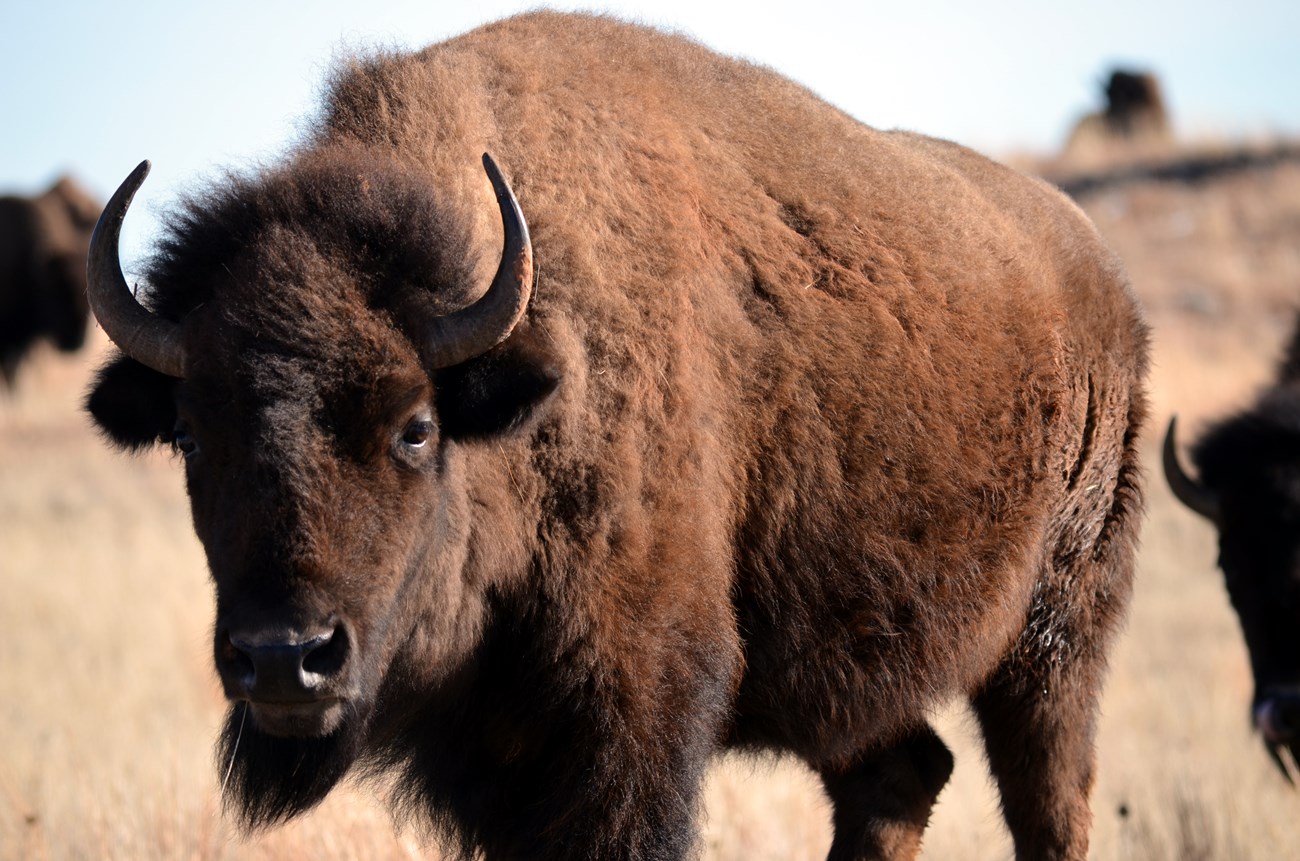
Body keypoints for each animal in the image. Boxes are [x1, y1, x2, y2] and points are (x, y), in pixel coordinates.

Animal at [85, 13, 1148, 861]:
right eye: (188, 433)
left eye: (416, 428)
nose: (283, 658)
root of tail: (1101, 277)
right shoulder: (493, 755)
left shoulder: (633, 715)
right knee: (900, 775)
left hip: (1056, 640)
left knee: (1047, 801)